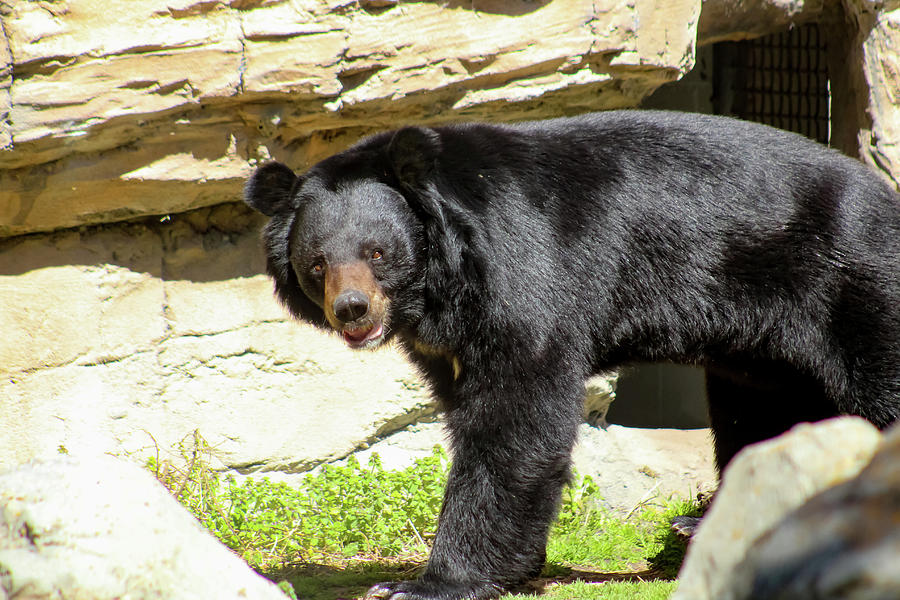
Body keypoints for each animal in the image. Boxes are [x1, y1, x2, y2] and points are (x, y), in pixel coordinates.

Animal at [244, 110, 900, 596]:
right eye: (317, 263)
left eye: (377, 253)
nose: (352, 311)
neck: (441, 281)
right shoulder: (447, 339)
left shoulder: (522, 275)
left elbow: (517, 415)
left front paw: (428, 583)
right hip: (764, 343)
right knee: (761, 409)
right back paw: (706, 517)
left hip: (853, 281)